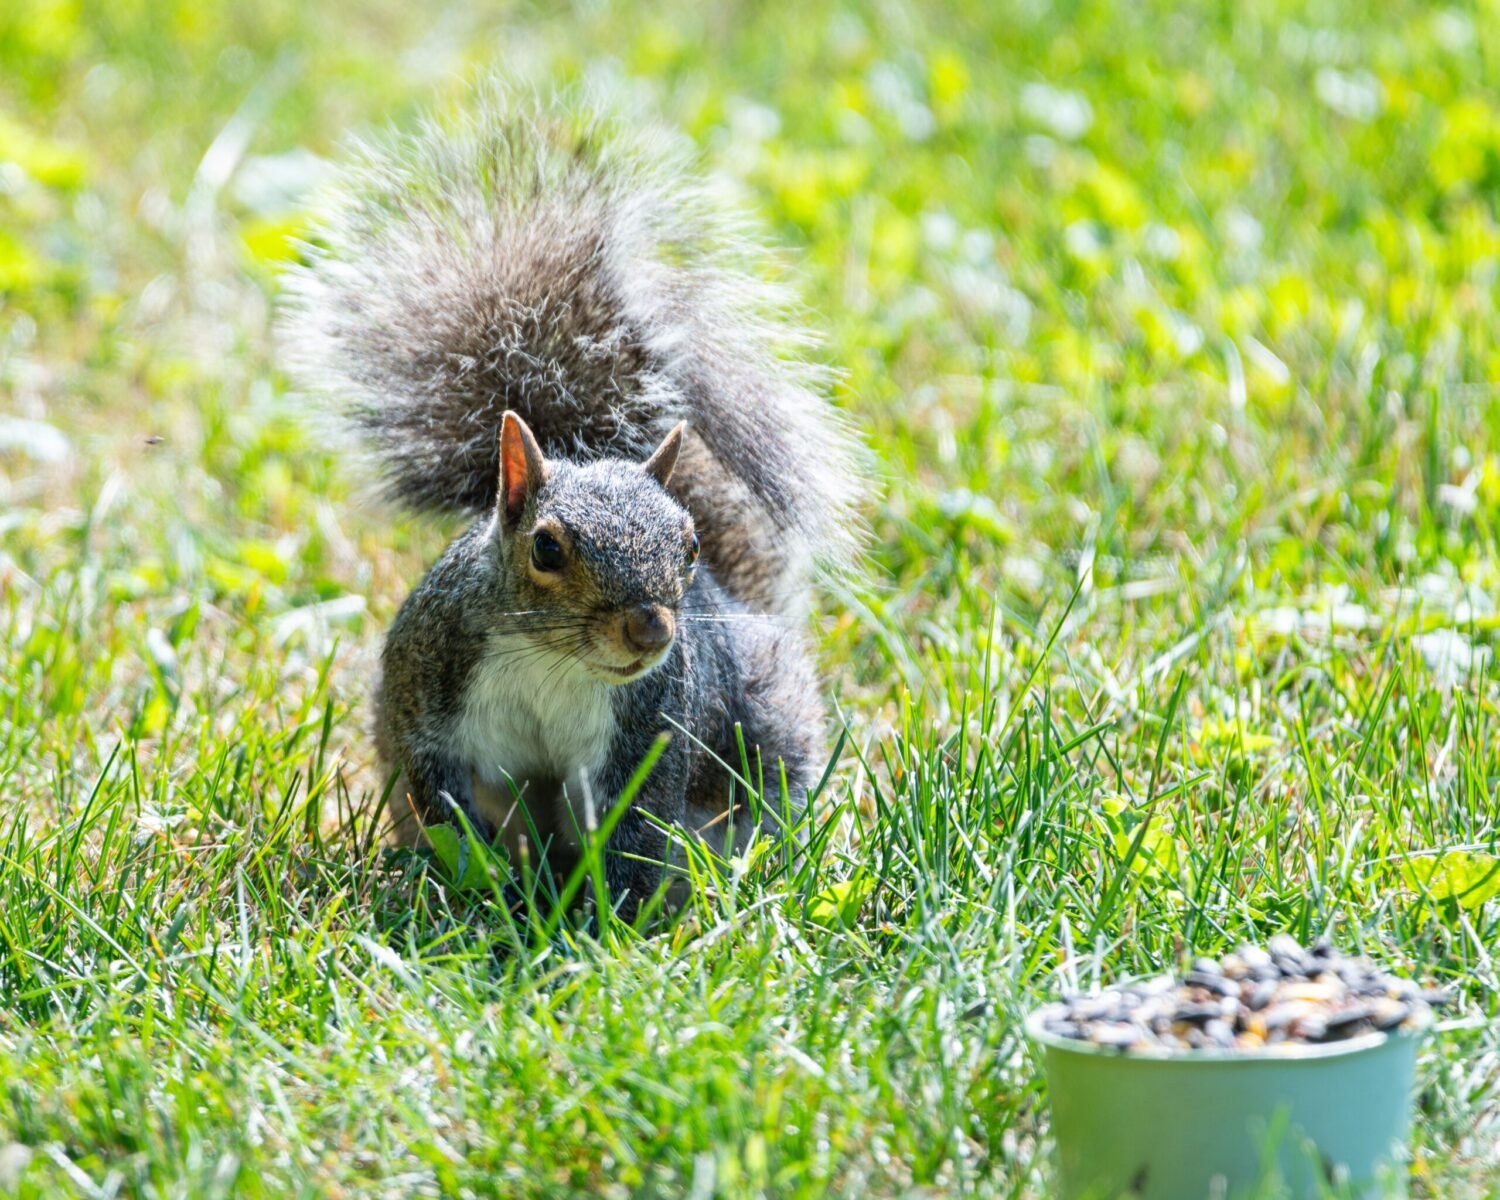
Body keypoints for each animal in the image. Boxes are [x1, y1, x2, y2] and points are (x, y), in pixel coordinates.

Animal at [276, 84, 864, 917]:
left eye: (688, 544)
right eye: (547, 548)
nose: (650, 629)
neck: (549, 659)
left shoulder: (648, 734)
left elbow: (634, 830)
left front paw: (607, 921)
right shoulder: (427, 688)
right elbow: (439, 793)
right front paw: (475, 886)